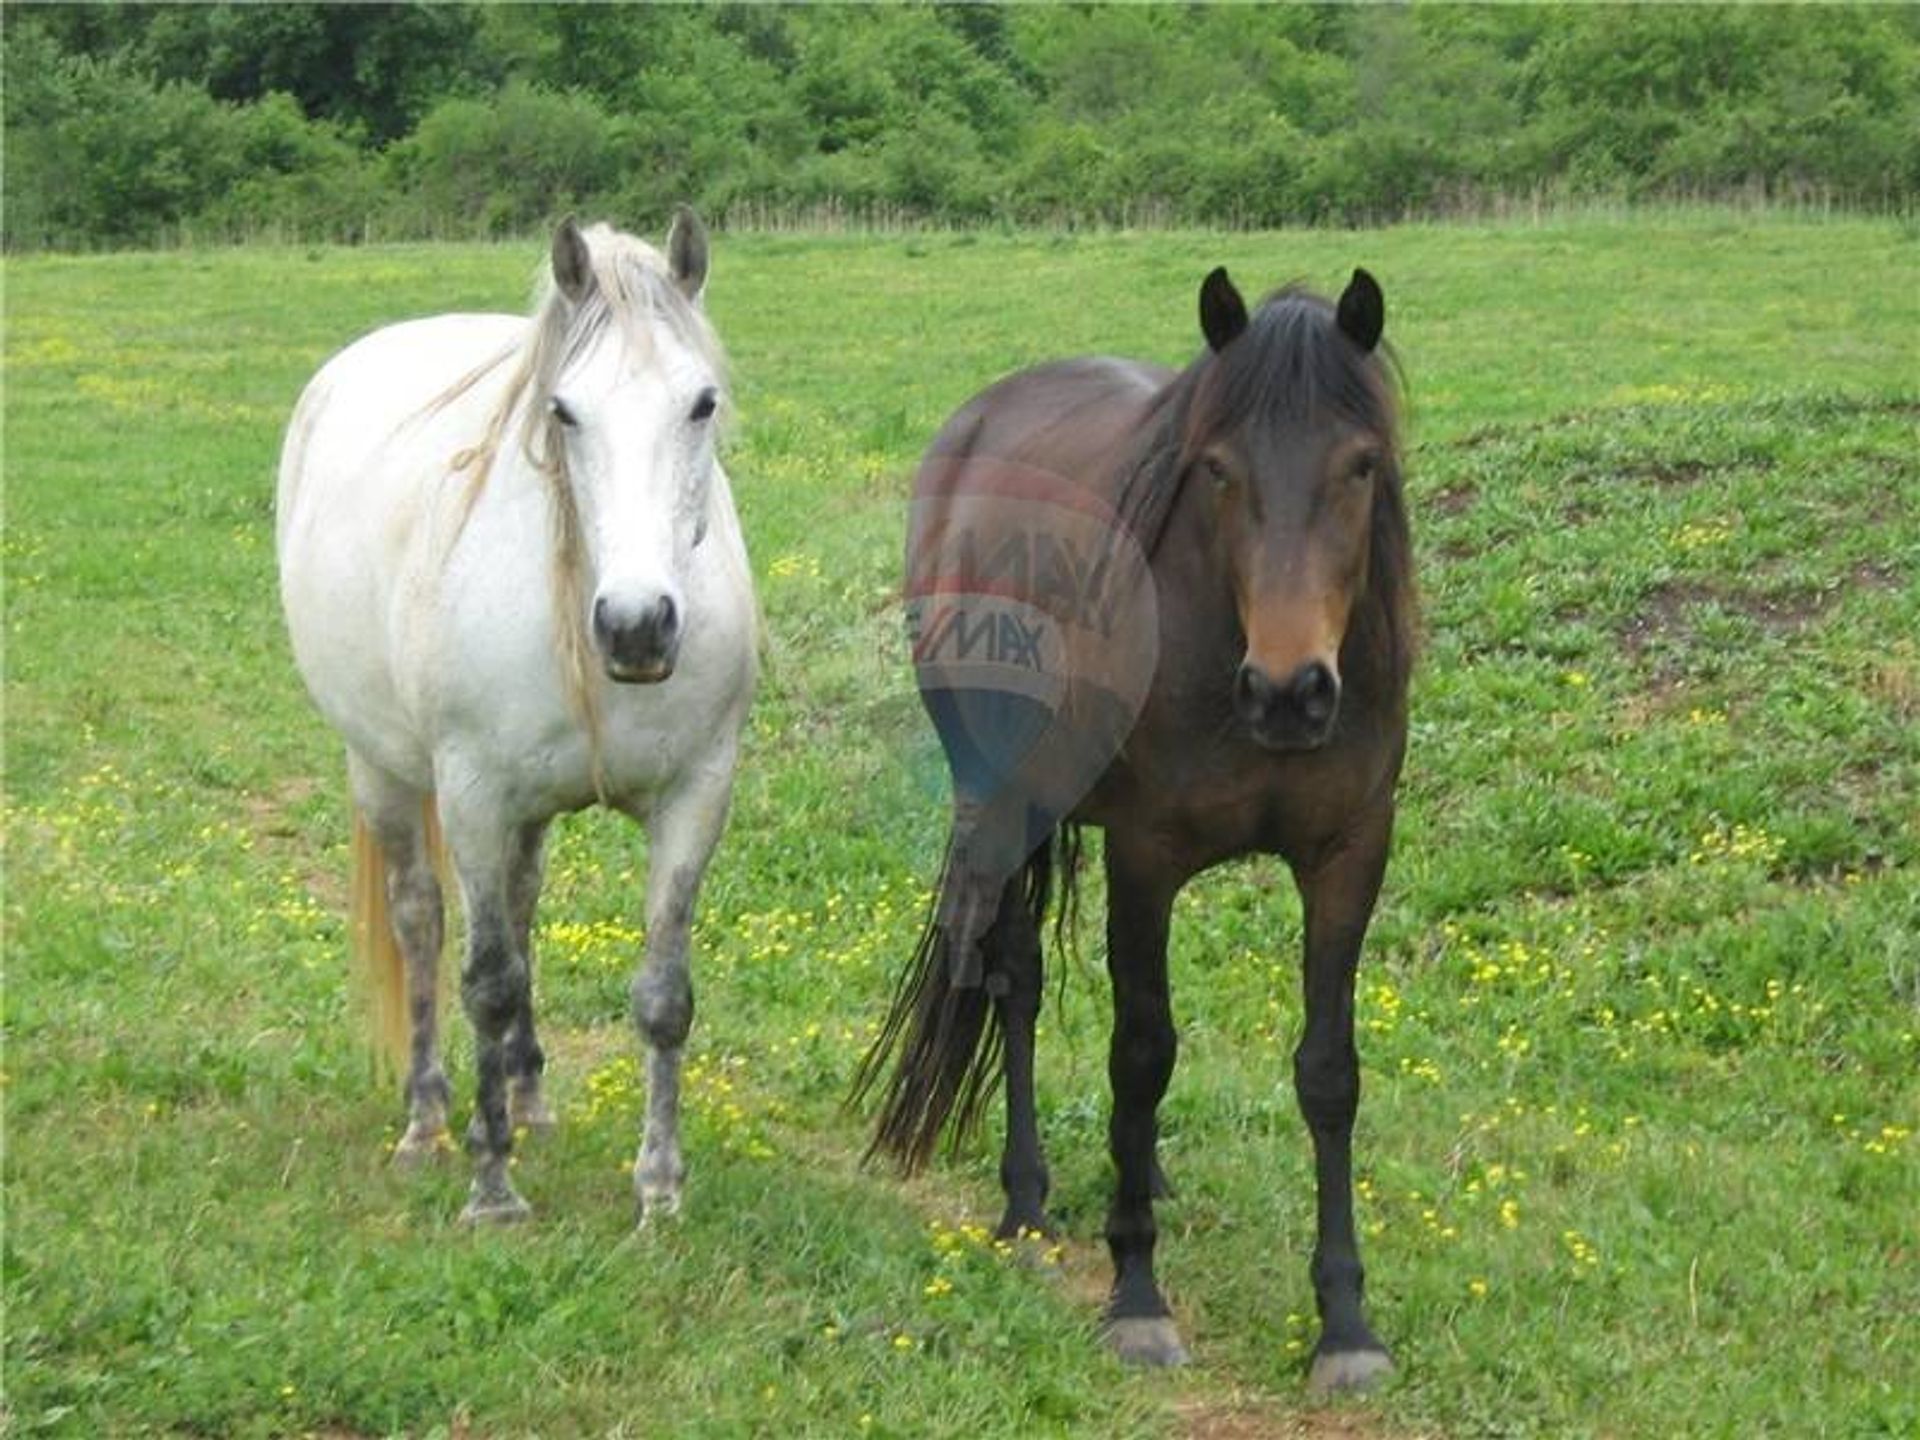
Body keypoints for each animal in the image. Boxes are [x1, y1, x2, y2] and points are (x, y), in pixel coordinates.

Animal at [278, 214, 756, 1221]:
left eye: (702, 403)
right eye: (564, 412)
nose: (637, 625)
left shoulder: (698, 793)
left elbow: (664, 995)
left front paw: (659, 1190)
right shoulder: (473, 796)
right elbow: (488, 984)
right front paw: (491, 1188)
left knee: (526, 907)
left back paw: (529, 1098)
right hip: (384, 769)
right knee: (422, 923)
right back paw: (428, 1121)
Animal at [856, 264, 1413, 1390]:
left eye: (1361, 464)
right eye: (1218, 470)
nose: (1288, 692)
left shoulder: (1350, 855)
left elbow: (1329, 1074)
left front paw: (1345, 1322)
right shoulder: (1144, 857)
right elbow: (1141, 1053)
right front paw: (1137, 1297)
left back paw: (1139, 1174)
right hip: (1004, 801)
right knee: (1015, 980)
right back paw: (1026, 1204)